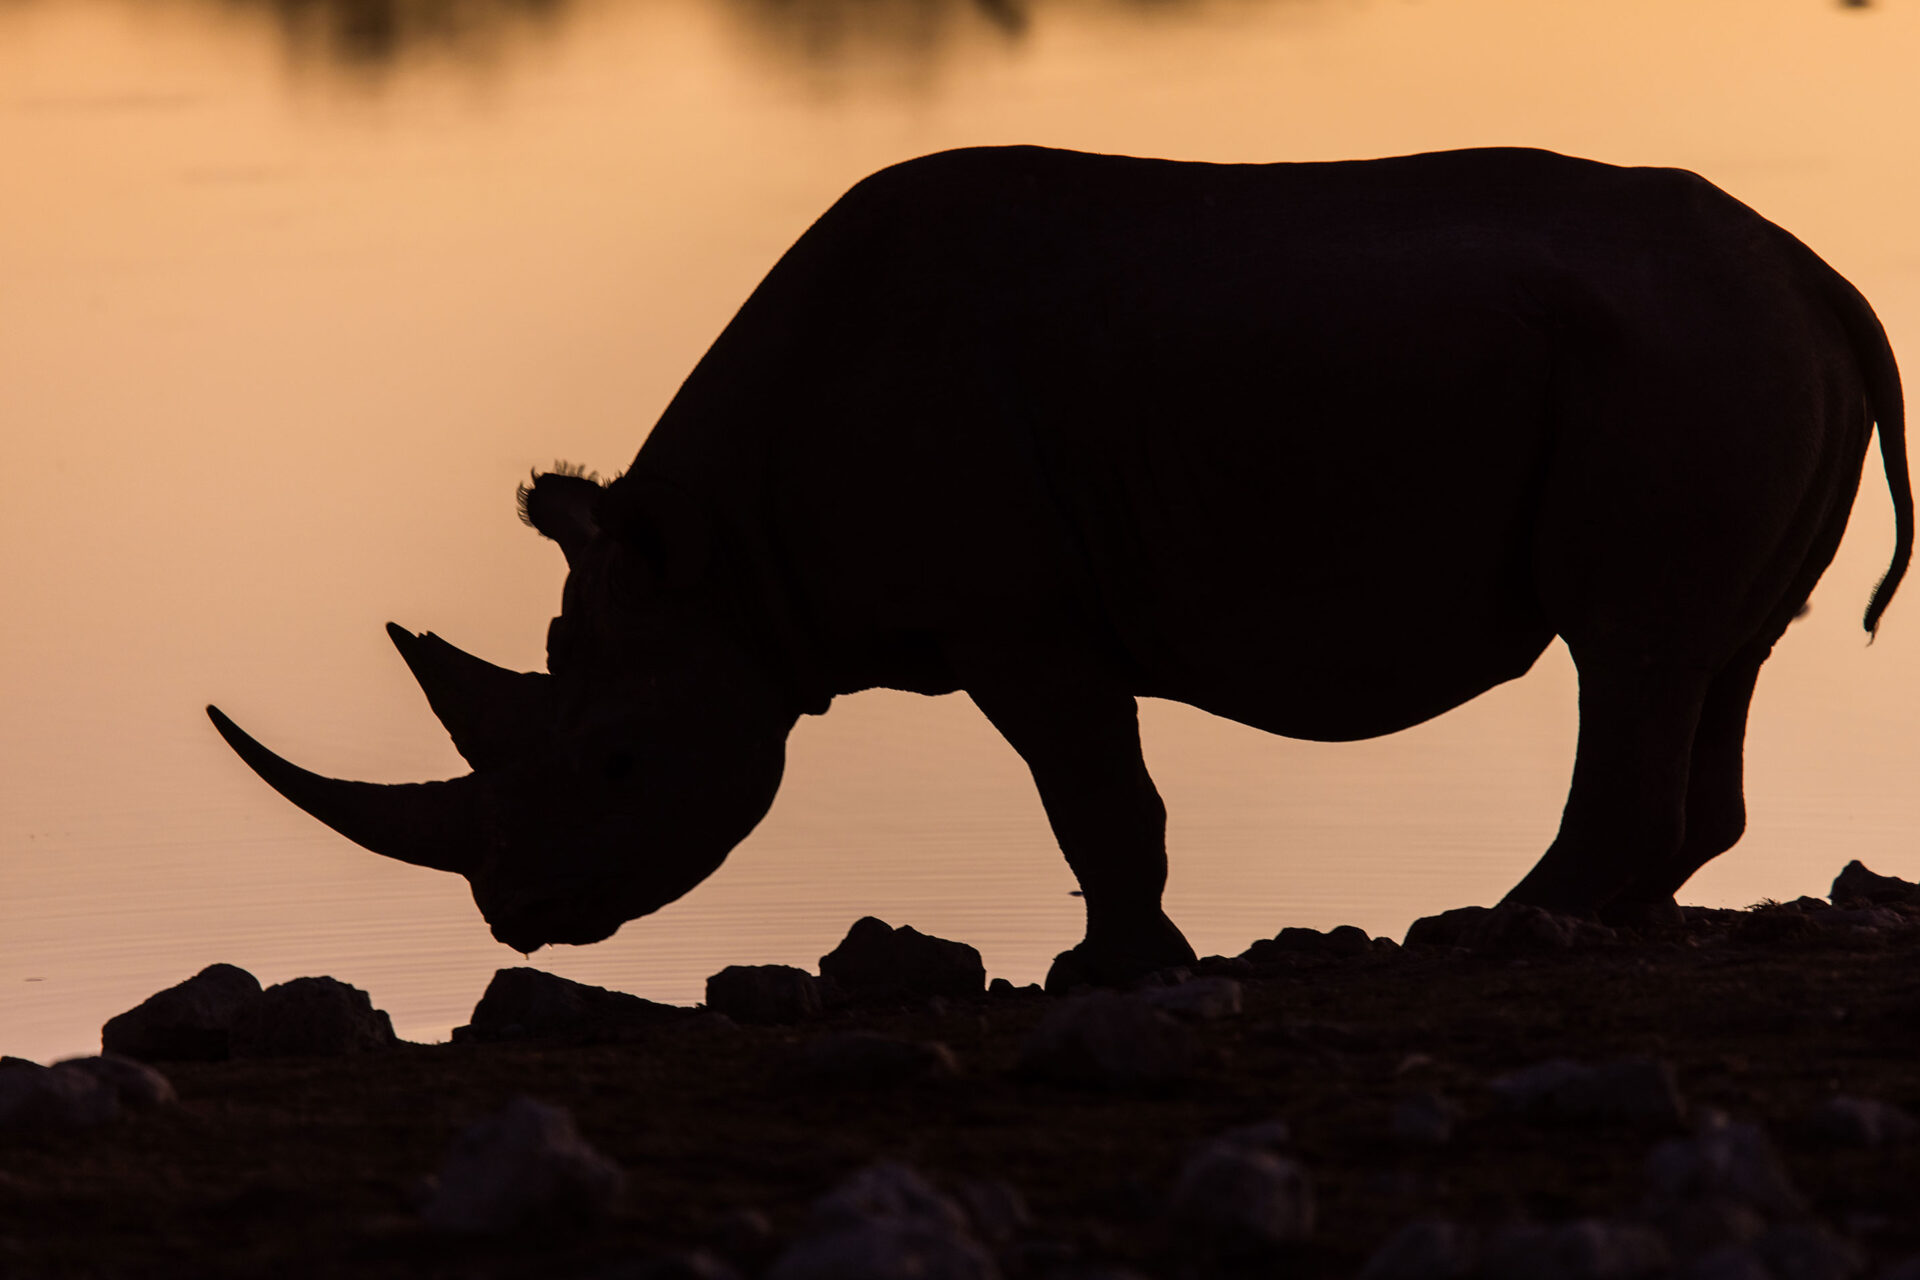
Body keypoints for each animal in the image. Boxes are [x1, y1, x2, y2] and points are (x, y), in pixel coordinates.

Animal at [209, 145, 1911, 988]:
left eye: (618, 765)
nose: (516, 917)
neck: (725, 565)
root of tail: (1817, 272)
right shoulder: (1023, 616)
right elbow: (1104, 800)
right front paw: (1127, 962)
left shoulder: (1021, 623)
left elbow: (1099, 799)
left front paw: (1113, 970)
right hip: (1714, 347)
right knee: (1716, 651)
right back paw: (1609, 922)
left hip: (1682, 355)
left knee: (1627, 642)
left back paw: (1492, 933)